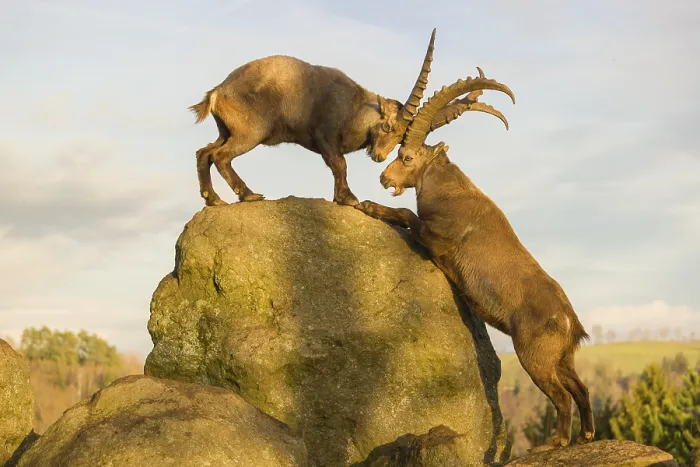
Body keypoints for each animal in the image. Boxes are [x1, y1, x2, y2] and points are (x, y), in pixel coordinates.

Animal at [188, 29, 510, 207]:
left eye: (401, 138)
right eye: (389, 126)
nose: (379, 157)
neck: (355, 108)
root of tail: (218, 92)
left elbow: (338, 166)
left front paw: (341, 197)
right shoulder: (324, 135)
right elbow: (339, 164)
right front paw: (349, 198)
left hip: (227, 130)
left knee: (204, 152)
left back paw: (213, 199)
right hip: (250, 133)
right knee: (221, 156)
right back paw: (248, 194)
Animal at [355, 70, 595, 450]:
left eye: (406, 157)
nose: (383, 178)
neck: (450, 192)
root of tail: (571, 322)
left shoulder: (437, 240)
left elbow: (407, 213)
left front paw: (368, 206)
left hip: (535, 357)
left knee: (561, 395)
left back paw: (555, 442)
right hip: (562, 358)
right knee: (581, 388)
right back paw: (586, 436)